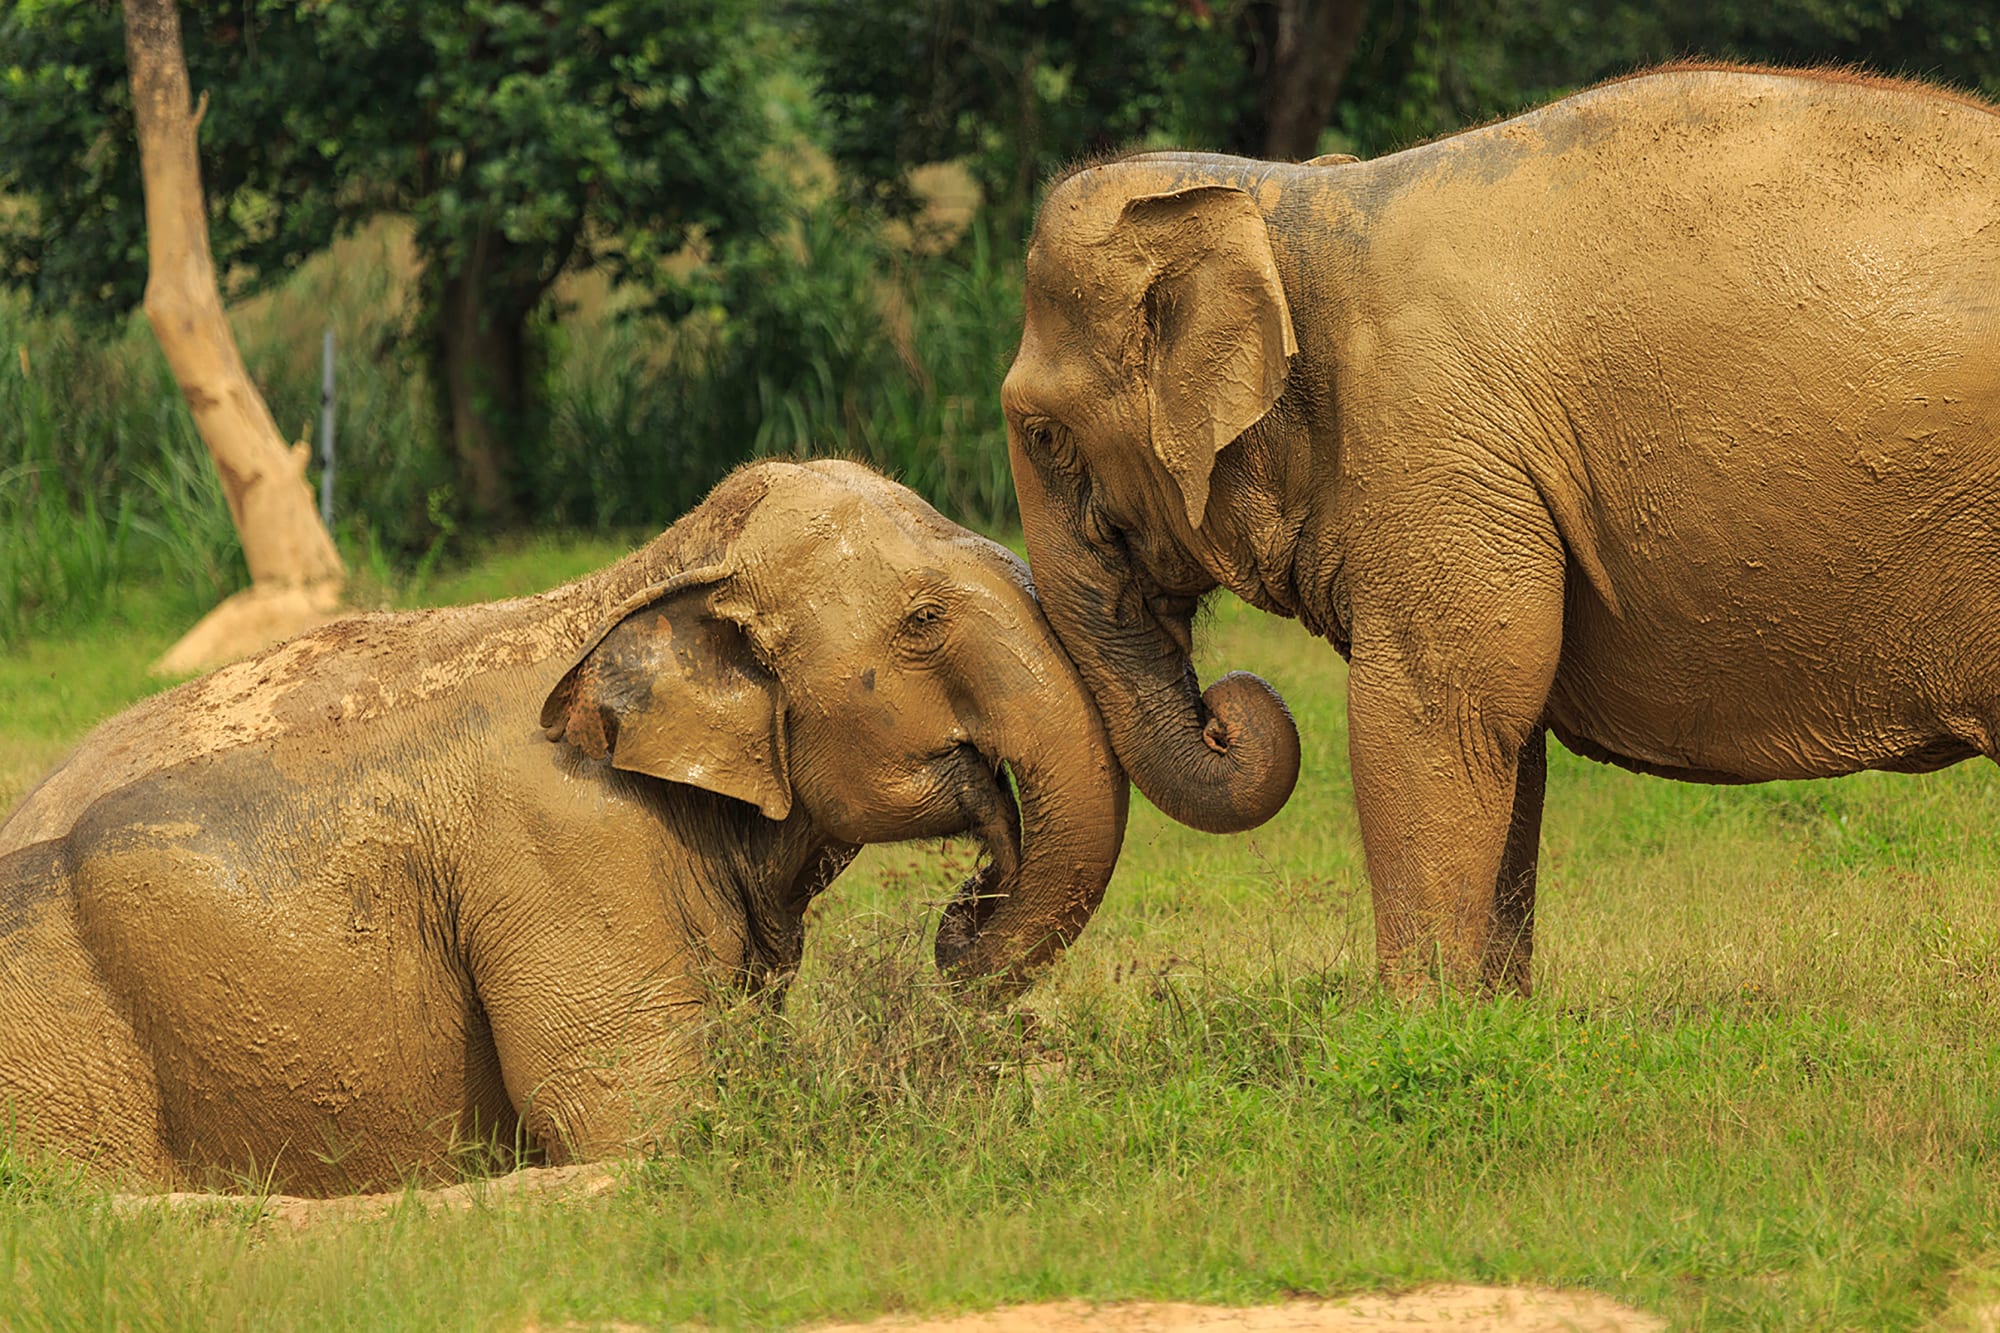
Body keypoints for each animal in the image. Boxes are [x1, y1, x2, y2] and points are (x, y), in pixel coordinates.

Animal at [1001, 63, 2000, 993]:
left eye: (1041, 433)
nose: (1223, 716)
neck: (1291, 208)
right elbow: (1507, 745)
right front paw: (1486, 1020)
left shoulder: (1434, 438)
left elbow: (1437, 712)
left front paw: (1410, 1023)